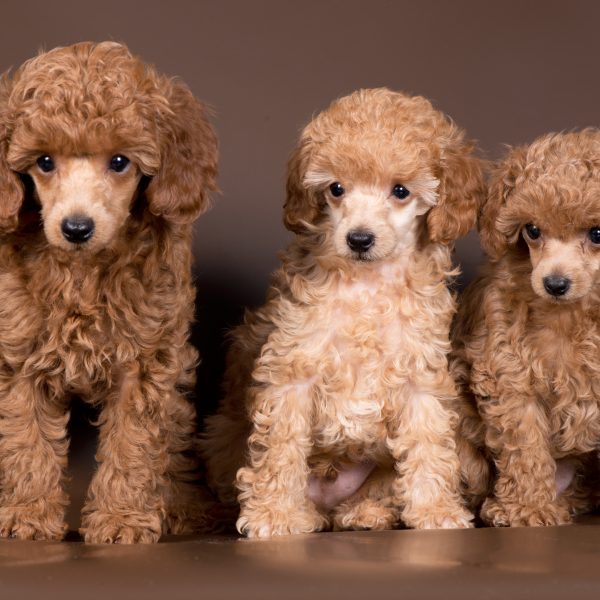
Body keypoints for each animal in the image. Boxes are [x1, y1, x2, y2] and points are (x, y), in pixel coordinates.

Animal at [0, 39, 218, 540]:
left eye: (119, 162)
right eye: (44, 162)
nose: (77, 227)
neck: (83, 271)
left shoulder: (146, 360)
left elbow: (134, 442)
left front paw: (122, 518)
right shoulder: (19, 357)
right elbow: (26, 439)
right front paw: (27, 514)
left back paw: (184, 507)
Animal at [202, 86, 482, 536]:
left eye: (400, 191)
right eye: (336, 189)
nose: (359, 238)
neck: (365, 283)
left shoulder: (420, 374)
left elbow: (427, 442)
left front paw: (435, 509)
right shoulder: (292, 369)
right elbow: (281, 446)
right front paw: (274, 514)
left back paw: (365, 512)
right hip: (222, 438)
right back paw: (306, 514)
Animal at [452, 130, 600, 524]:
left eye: (597, 233)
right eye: (532, 231)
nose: (555, 283)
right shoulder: (509, 372)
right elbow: (525, 445)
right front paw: (528, 508)